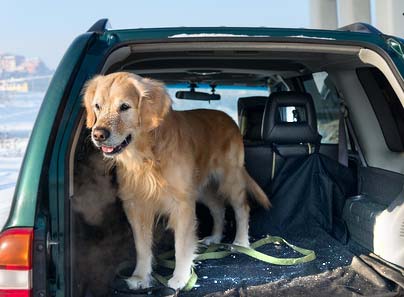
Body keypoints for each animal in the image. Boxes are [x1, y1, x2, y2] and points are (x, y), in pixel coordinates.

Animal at [82, 71, 270, 290]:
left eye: (125, 107)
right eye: (97, 106)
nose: (98, 134)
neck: (146, 156)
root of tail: (227, 117)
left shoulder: (182, 204)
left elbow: (181, 245)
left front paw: (180, 277)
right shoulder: (136, 205)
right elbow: (142, 247)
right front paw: (140, 276)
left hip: (230, 179)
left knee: (241, 208)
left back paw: (240, 242)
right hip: (201, 189)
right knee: (218, 208)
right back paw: (215, 237)